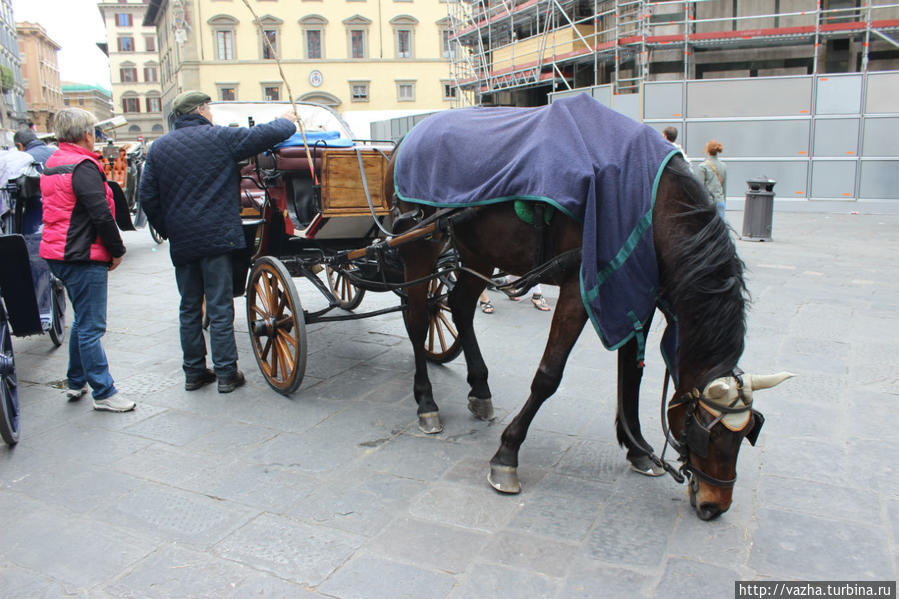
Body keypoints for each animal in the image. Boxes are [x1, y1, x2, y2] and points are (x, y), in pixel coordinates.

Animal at [384, 98, 792, 520]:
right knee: (418, 319)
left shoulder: (635, 291)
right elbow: (548, 376)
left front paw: (638, 448)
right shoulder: (579, 290)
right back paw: (426, 402)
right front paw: (507, 454)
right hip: (419, 244)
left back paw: (480, 389)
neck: (652, 202)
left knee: (460, 308)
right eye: (706, 432)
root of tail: (406, 139)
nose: (715, 506)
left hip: (478, 250)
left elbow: (632, 374)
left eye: (747, 433)